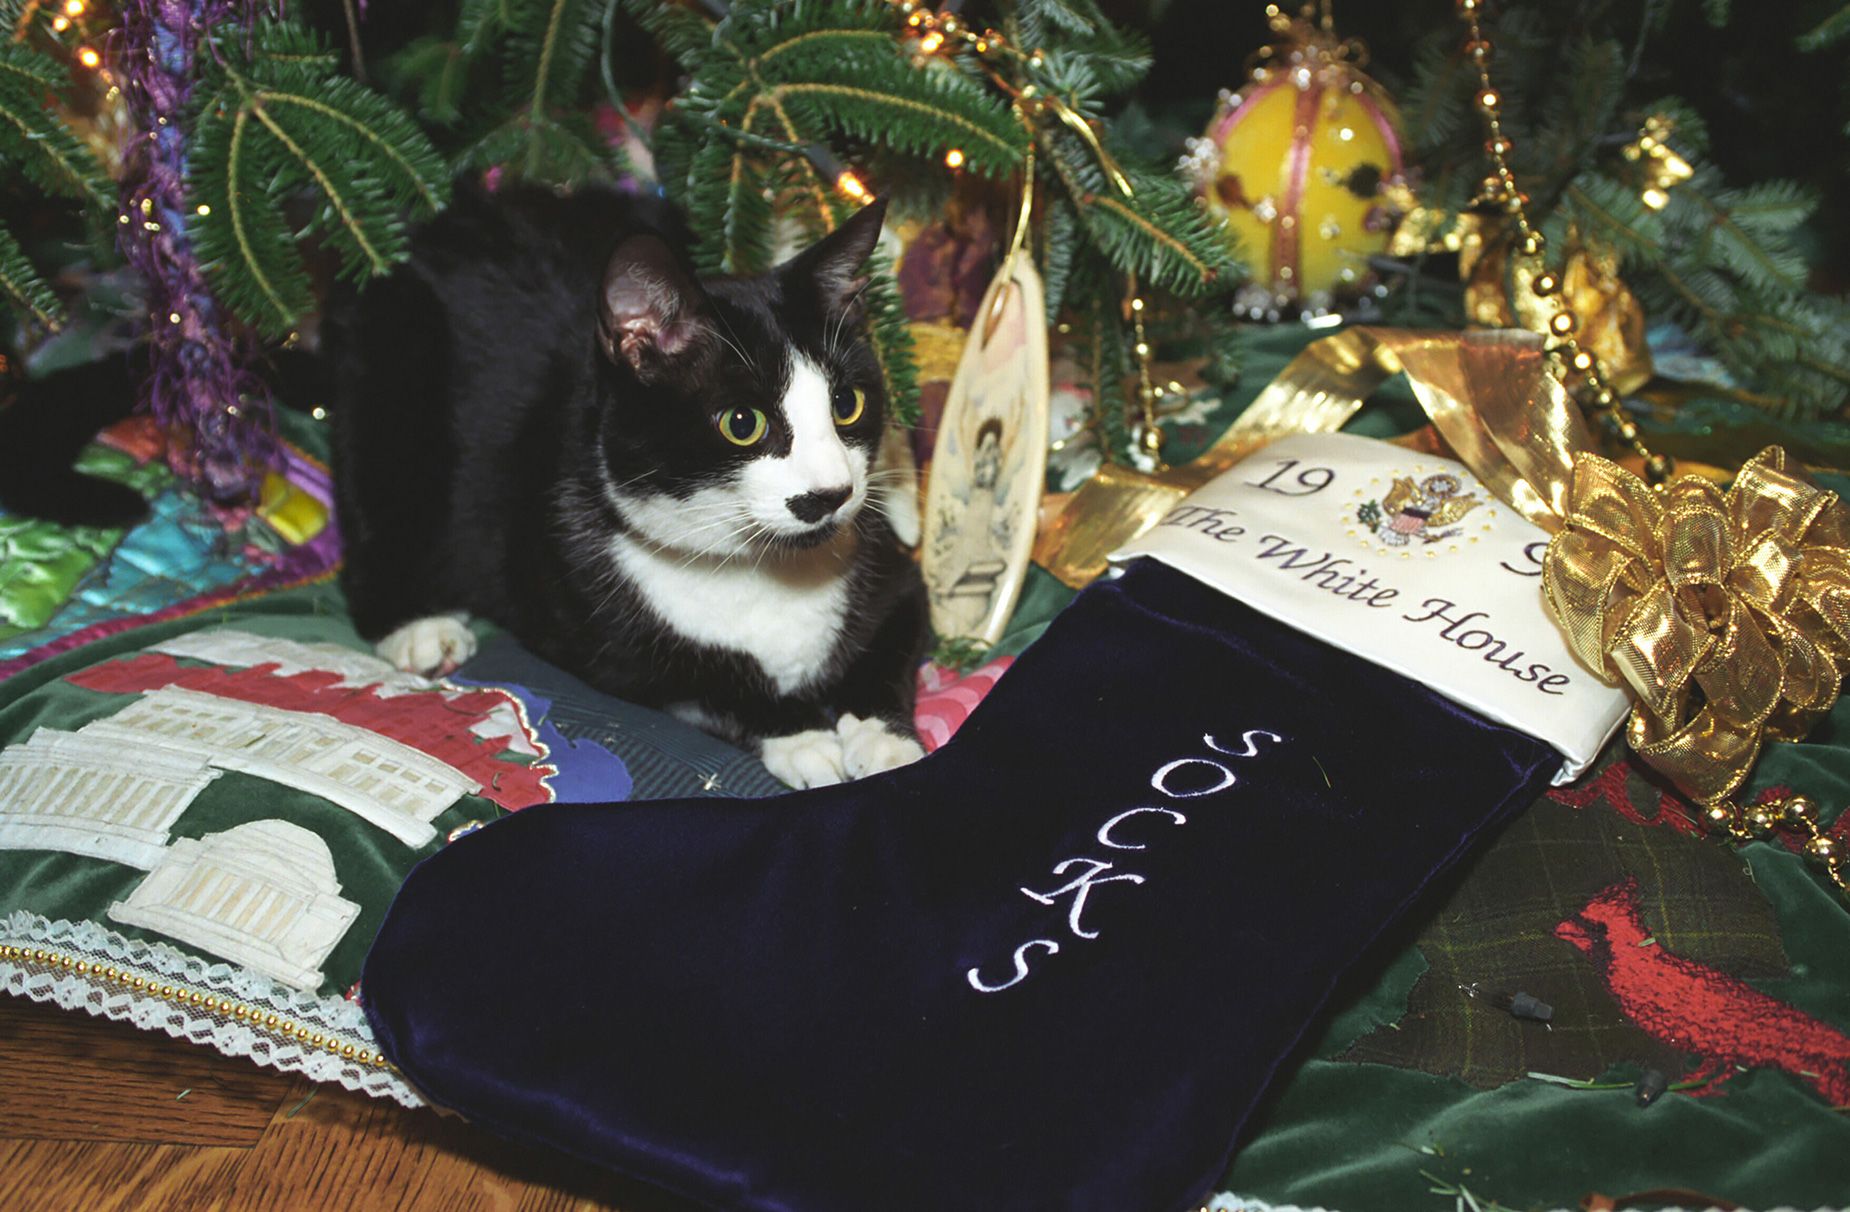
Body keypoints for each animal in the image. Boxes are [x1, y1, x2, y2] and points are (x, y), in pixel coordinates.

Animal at [327, 182, 932, 788]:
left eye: (847, 403)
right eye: (742, 423)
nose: (832, 492)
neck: (763, 571)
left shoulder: (894, 578)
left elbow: (890, 650)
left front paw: (884, 740)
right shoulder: (609, 644)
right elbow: (705, 686)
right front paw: (803, 736)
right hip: (394, 376)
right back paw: (420, 627)